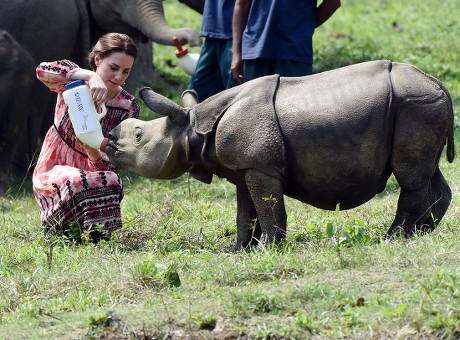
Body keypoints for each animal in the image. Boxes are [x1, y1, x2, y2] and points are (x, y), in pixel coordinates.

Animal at [105, 60, 456, 250]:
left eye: (138, 135)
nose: (108, 142)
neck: (192, 127)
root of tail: (440, 85)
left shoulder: (261, 164)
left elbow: (269, 208)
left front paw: (270, 249)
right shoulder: (244, 167)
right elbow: (246, 212)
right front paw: (239, 250)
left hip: (415, 104)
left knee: (409, 175)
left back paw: (394, 238)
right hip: (421, 106)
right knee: (425, 171)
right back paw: (424, 232)